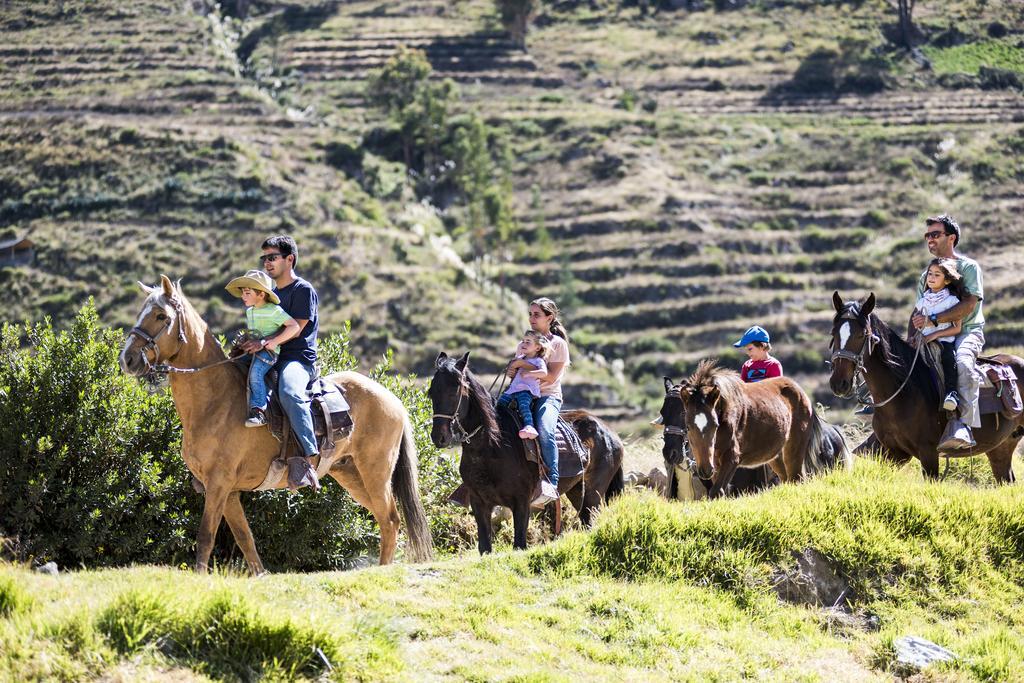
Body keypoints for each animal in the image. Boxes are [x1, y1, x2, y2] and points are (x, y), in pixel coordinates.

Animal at [118, 276, 432, 573]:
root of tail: (393, 400)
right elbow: (245, 538)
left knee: (389, 519)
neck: (215, 400)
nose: (127, 359)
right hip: (352, 475)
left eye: (161, 316)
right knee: (386, 519)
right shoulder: (228, 492)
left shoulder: (218, 484)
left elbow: (206, 535)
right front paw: (259, 575)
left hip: (375, 473)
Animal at [430, 352, 622, 557]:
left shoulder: (521, 502)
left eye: (455, 391)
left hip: (593, 494)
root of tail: (611, 433)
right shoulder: (479, 502)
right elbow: (485, 547)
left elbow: (519, 544)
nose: (439, 437)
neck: (493, 446)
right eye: (431, 392)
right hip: (578, 492)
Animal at [671, 358, 847, 497]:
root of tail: (804, 395)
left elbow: (716, 491)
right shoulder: (715, 461)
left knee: (796, 478)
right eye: (688, 426)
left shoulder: (732, 459)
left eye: (715, 425)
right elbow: (719, 491)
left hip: (794, 451)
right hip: (776, 457)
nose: (705, 470)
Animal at [827, 292, 1019, 481]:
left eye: (862, 334)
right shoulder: (893, 453)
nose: (839, 383)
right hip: (1000, 447)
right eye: (834, 333)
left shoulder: (928, 453)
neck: (903, 393)